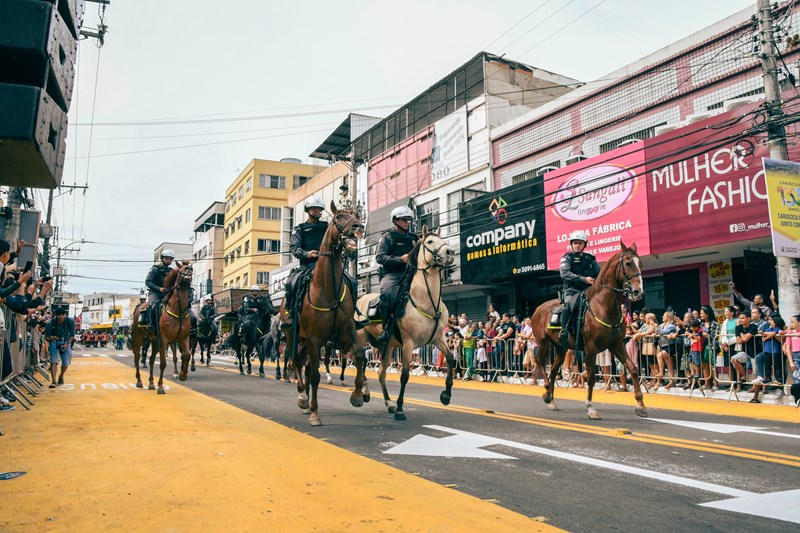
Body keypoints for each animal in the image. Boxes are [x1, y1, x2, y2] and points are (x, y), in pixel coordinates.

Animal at [132, 260, 195, 392]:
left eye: (191, 269)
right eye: (182, 269)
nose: (188, 276)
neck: (178, 311)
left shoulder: (183, 338)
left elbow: (186, 355)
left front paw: (182, 375)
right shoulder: (165, 340)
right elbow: (163, 363)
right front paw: (160, 386)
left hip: (155, 342)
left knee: (151, 359)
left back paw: (151, 383)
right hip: (139, 338)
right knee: (137, 357)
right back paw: (139, 381)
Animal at [280, 202, 368, 426]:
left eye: (354, 215)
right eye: (339, 217)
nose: (358, 227)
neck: (328, 289)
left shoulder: (347, 330)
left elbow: (359, 355)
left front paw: (357, 395)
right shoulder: (314, 337)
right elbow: (315, 376)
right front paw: (314, 414)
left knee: (305, 365)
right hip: (293, 336)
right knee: (297, 361)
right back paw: (303, 397)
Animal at [356, 225, 456, 420]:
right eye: (430, 241)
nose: (449, 252)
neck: (426, 300)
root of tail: (360, 298)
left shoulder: (438, 339)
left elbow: (450, 358)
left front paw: (446, 395)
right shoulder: (409, 343)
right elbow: (404, 375)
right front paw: (401, 408)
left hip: (387, 347)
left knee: (380, 373)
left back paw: (388, 403)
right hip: (361, 339)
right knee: (361, 361)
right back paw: (364, 393)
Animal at [532, 242, 648, 420]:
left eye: (640, 263)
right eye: (628, 263)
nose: (638, 292)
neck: (603, 305)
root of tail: (538, 308)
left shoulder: (616, 344)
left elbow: (633, 368)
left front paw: (640, 405)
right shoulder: (591, 347)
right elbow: (592, 376)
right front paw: (590, 407)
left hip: (561, 348)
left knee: (553, 370)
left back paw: (551, 400)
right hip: (543, 342)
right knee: (540, 362)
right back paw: (546, 393)